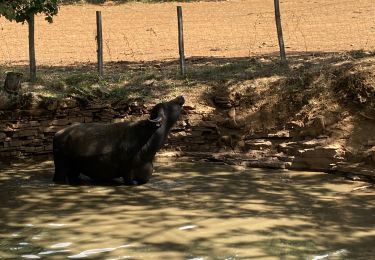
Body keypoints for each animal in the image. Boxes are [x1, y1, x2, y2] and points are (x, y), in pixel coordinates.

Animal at [52, 96, 185, 185]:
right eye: (169, 105)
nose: (180, 97)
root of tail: (57, 134)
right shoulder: (128, 172)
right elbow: (129, 180)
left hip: (74, 168)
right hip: (60, 167)